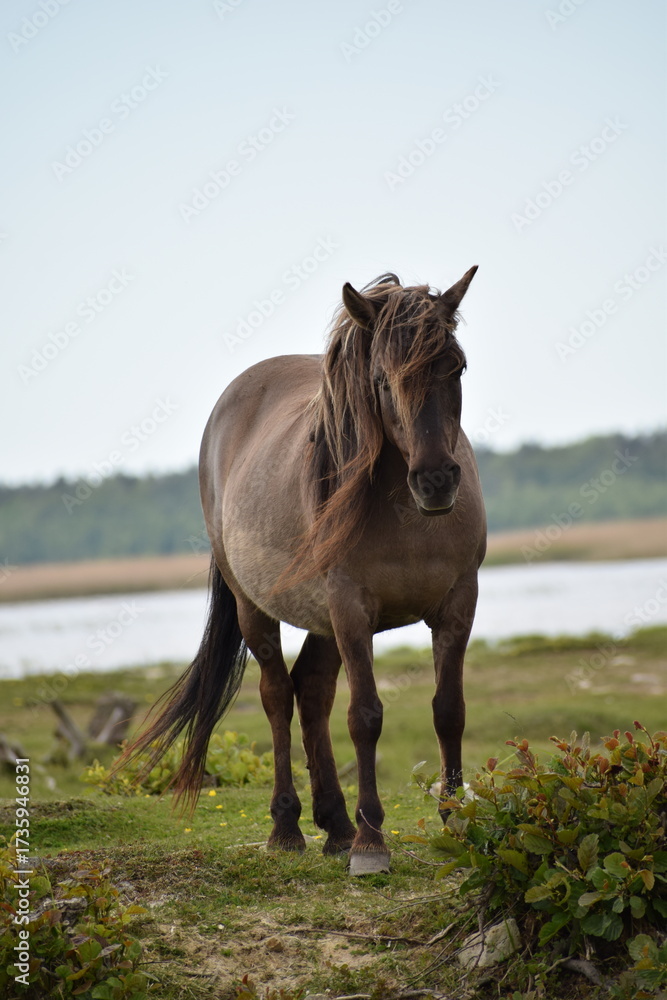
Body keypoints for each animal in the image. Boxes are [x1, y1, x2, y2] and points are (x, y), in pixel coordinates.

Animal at [125, 268, 487, 875]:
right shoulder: (351, 609)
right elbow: (365, 716)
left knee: (312, 690)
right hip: (262, 609)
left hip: (325, 623)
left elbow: (450, 712)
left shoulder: (457, 606)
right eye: (382, 381)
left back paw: (336, 824)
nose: (436, 481)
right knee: (277, 694)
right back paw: (289, 827)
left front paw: (456, 825)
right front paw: (372, 845)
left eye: (456, 366)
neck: (405, 516)